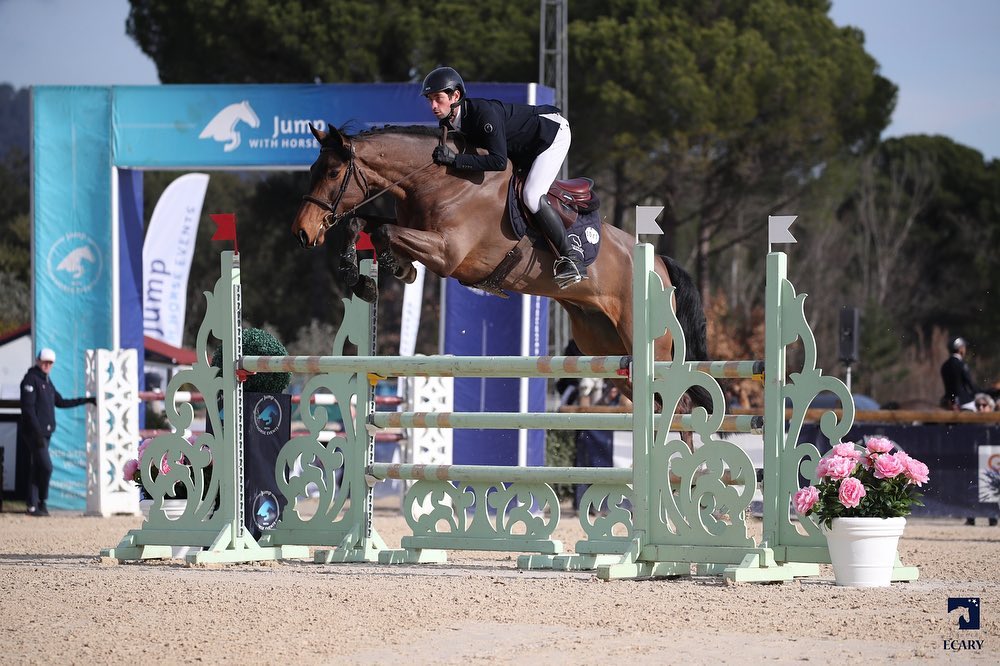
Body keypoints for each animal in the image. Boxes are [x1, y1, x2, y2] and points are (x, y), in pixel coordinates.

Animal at [292, 123, 712, 404]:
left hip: (651, 348)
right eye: (312, 171)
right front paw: (364, 275)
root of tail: (659, 264)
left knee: (679, 404)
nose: (302, 232)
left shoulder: (448, 253)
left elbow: (382, 232)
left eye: (333, 172)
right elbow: (363, 224)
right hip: (604, 346)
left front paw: (392, 270)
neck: (439, 179)